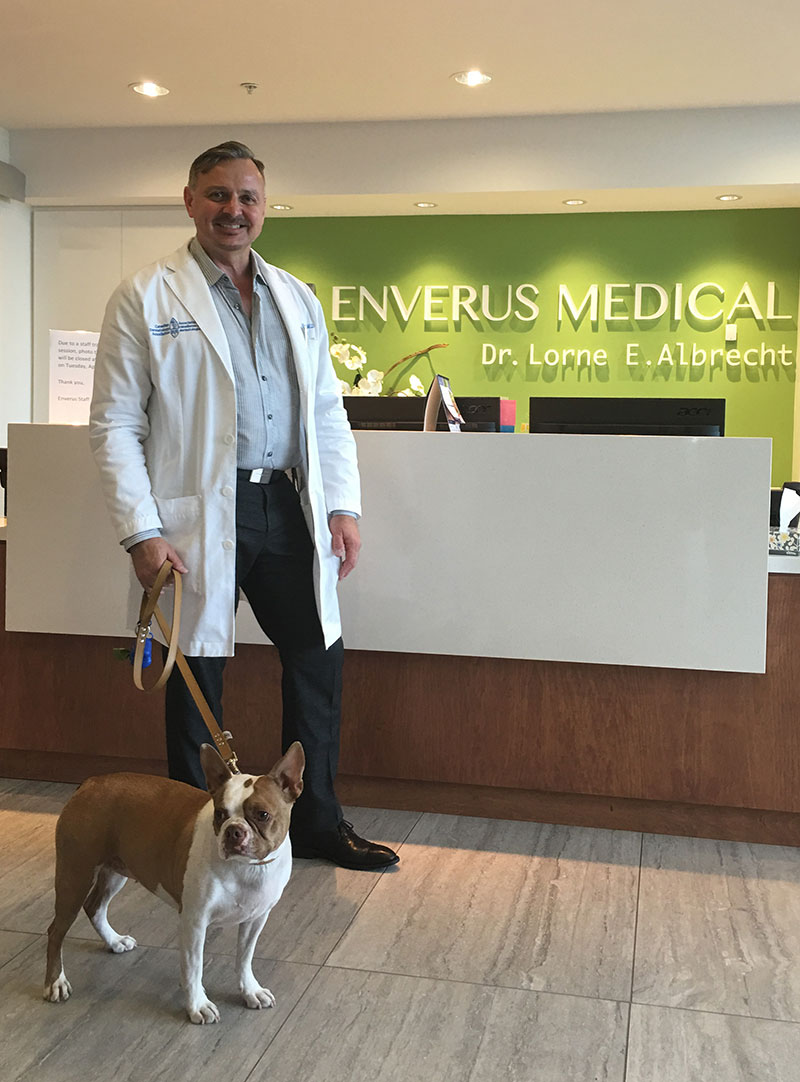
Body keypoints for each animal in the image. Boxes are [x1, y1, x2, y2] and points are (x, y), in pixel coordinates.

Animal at [43, 741, 304, 1024]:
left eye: (262, 815)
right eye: (220, 814)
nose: (234, 830)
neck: (245, 869)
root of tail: (90, 783)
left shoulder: (256, 918)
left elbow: (244, 958)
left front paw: (250, 991)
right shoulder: (195, 921)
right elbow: (194, 967)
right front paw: (197, 1004)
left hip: (114, 871)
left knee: (95, 907)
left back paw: (114, 941)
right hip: (75, 875)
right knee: (56, 931)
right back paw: (55, 982)